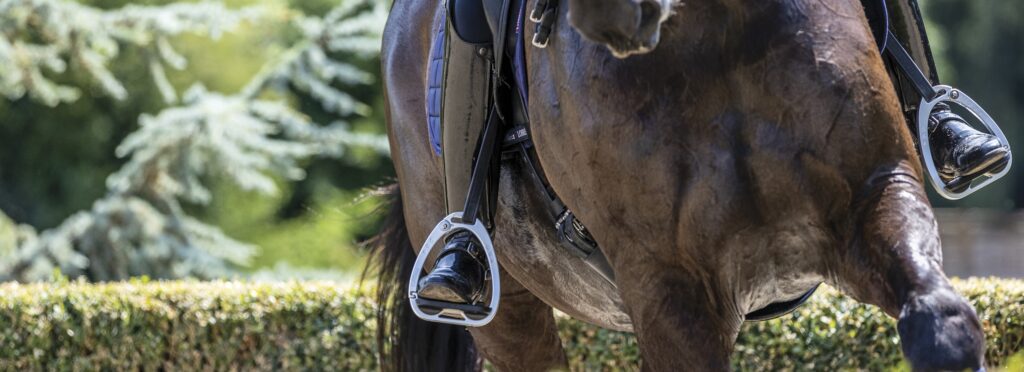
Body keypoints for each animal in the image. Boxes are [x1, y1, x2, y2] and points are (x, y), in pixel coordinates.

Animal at [368, 0, 983, 370]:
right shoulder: (666, 281)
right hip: (509, 314)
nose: (614, 14)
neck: (720, 31)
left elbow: (943, 326)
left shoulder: (875, 198)